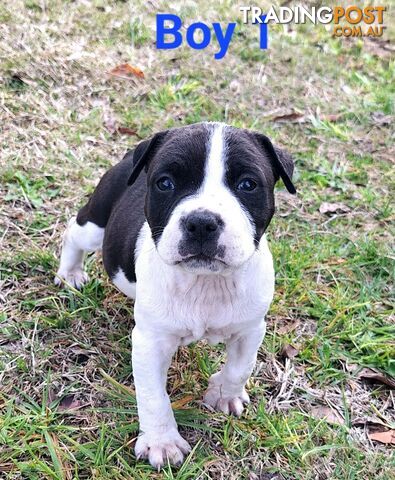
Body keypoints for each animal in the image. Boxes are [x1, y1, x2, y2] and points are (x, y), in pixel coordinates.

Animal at [56, 121, 296, 468]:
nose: (202, 222)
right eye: (165, 183)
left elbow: (241, 367)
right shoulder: (150, 343)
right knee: (74, 234)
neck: (206, 282)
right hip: (96, 224)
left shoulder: (251, 329)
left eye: (248, 185)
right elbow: (153, 396)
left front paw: (224, 395)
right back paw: (70, 273)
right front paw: (162, 443)